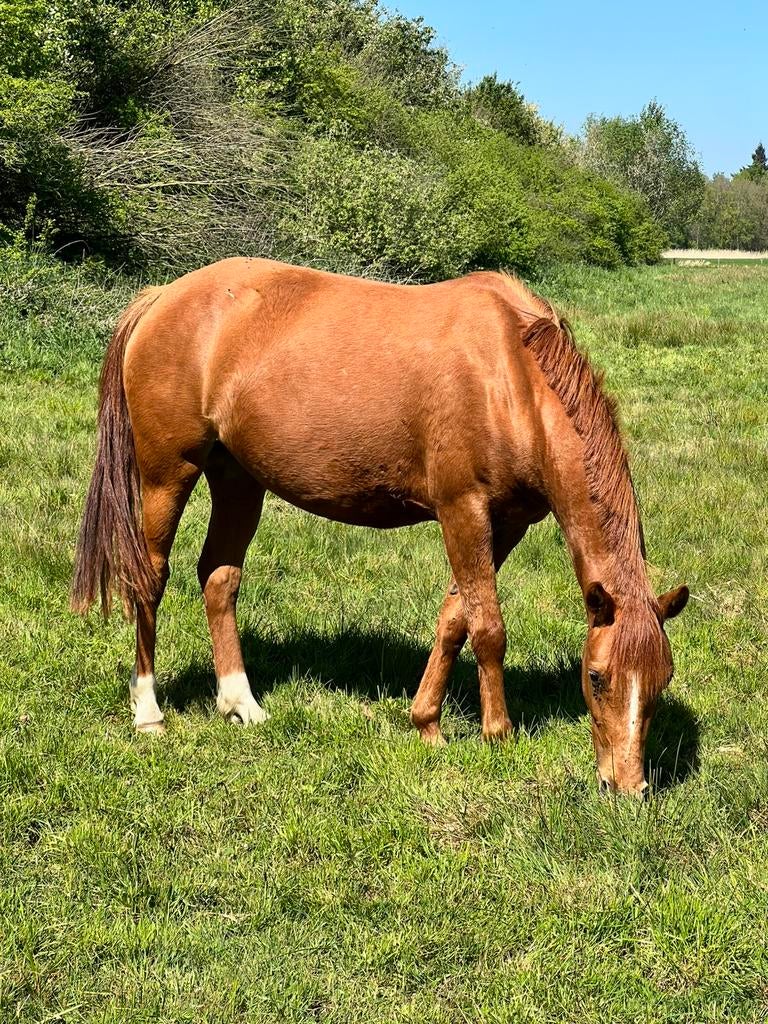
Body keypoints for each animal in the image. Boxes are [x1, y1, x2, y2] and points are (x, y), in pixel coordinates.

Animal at [71, 257, 688, 796]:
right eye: (597, 677)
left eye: (661, 682)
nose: (627, 788)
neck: (511, 376)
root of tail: (161, 299)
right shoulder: (462, 509)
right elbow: (487, 627)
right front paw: (498, 734)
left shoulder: (507, 521)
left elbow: (455, 618)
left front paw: (427, 723)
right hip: (166, 475)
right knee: (149, 579)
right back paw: (148, 711)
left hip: (237, 478)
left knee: (219, 578)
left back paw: (239, 703)